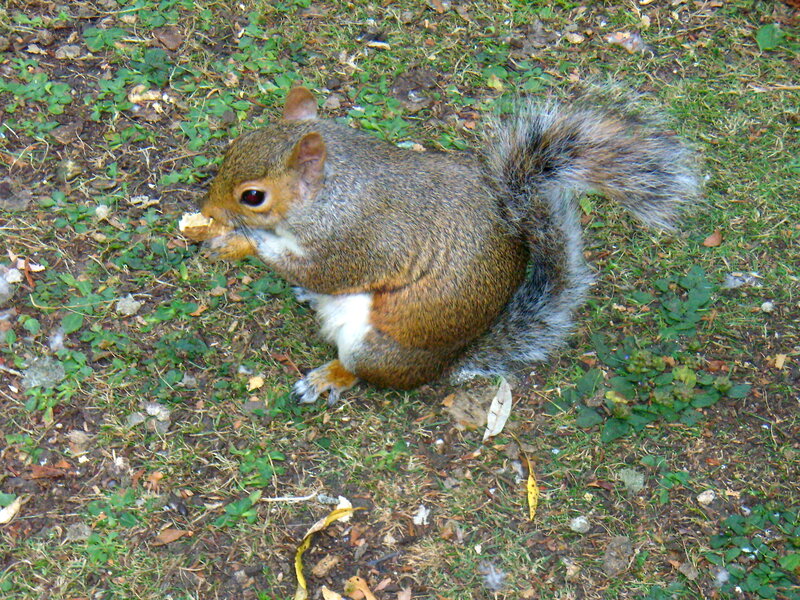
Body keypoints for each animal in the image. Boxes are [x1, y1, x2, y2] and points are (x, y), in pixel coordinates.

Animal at [194, 86, 699, 404]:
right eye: (232, 147)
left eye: (253, 196)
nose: (208, 208)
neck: (333, 191)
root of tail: (447, 364)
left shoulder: (355, 241)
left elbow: (318, 268)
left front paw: (238, 243)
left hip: (375, 347)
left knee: (362, 370)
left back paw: (329, 377)